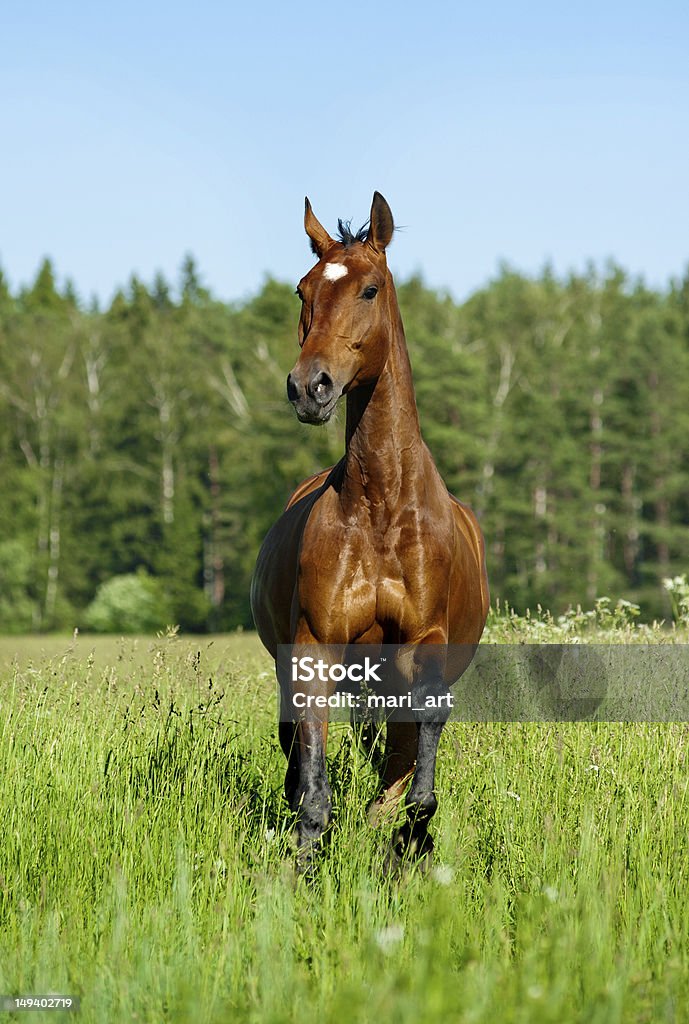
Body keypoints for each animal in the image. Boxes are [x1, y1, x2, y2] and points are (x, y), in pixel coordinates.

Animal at [249, 190, 487, 864]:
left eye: (370, 289)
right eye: (303, 290)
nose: (309, 387)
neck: (381, 505)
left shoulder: (424, 644)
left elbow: (416, 756)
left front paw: (411, 836)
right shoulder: (314, 650)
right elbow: (312, 779)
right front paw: (305, 857)